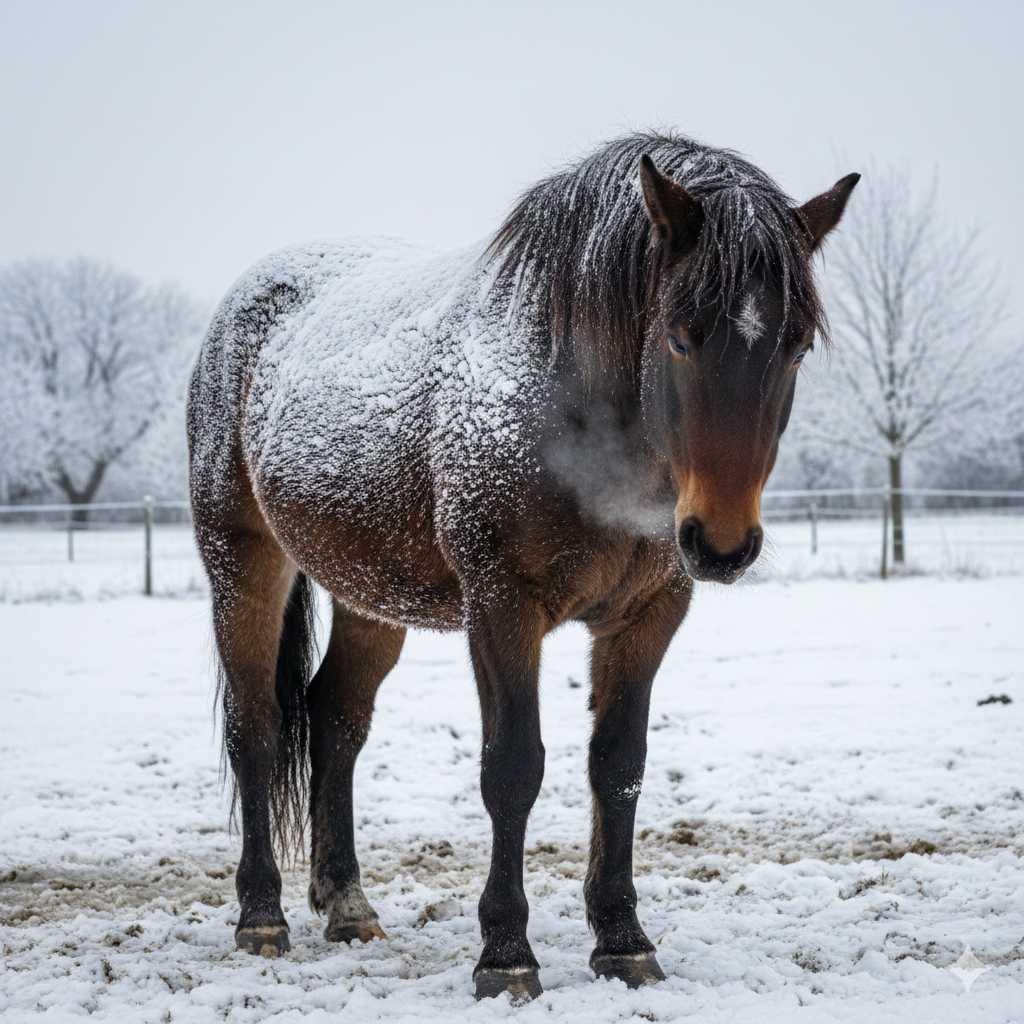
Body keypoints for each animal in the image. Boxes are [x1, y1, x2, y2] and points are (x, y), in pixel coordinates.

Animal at [187, 130, 858, 1001]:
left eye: (797, 344)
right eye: (681, 333)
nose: (721, 542)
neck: (574, 410)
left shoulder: (649, 615)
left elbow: (618, 766)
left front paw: (623, 941)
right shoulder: (503, 608)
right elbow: (512, 768)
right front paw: (506, 955)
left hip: (371, 597)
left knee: (337, 721)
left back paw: (347, 905)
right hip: (243, 566)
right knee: (257, 730)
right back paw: (261, 916)